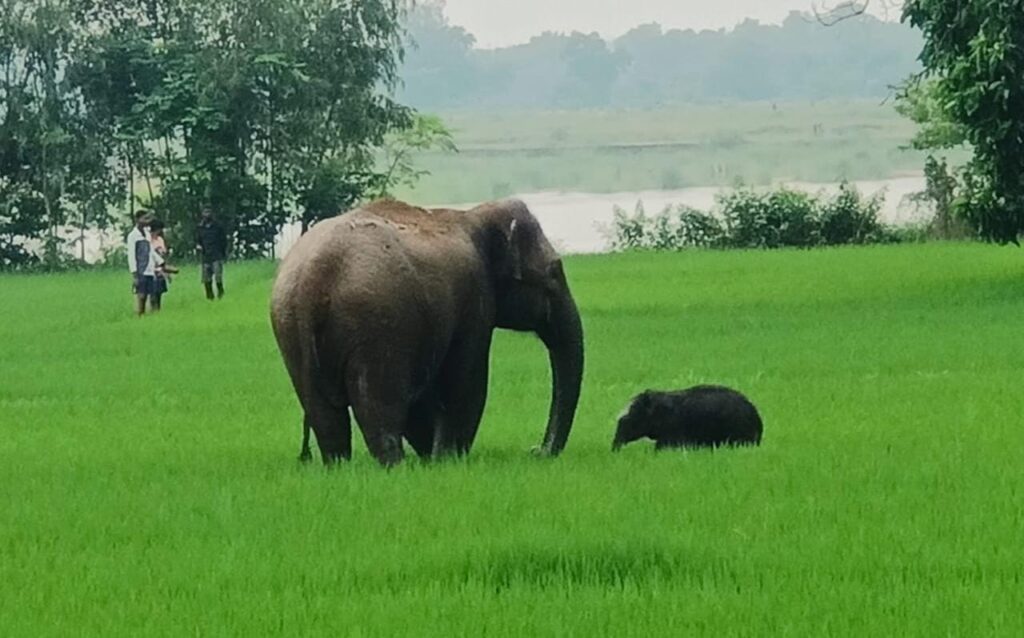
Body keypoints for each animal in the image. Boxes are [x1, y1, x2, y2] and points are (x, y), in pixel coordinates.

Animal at [270, 199, 585, 469]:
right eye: (554, 271)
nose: (536, 451)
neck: (474, 215)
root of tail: (313, 278)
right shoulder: (474, 299)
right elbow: (466, 381)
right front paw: (448, 460)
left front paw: (432, 458)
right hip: (378, 326)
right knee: (378, 405)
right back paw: (396, 467)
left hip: (290, 332)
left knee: (324, 415)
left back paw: (340, 468)